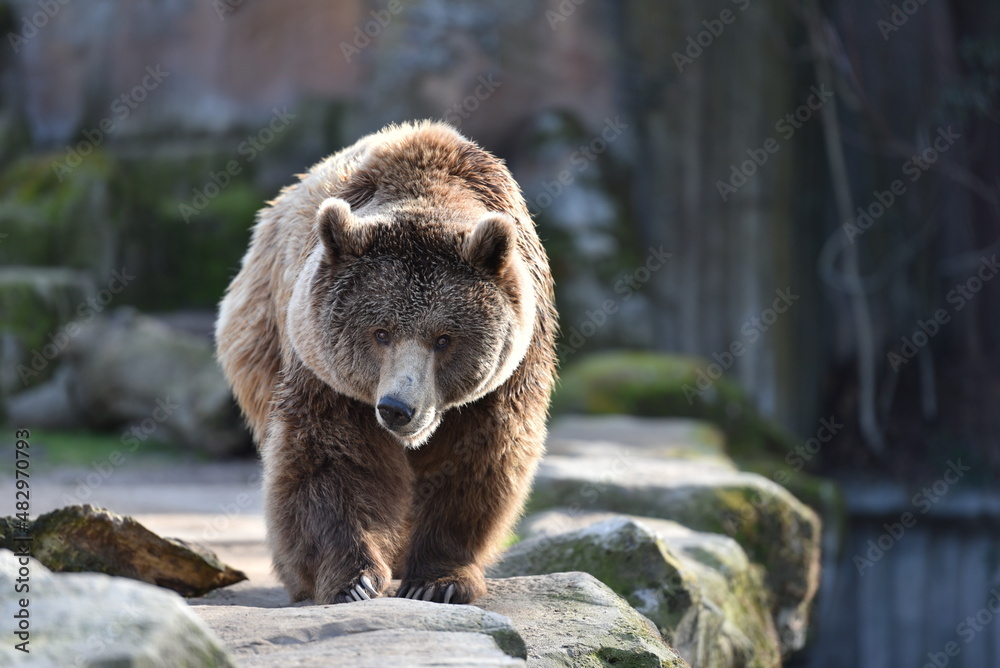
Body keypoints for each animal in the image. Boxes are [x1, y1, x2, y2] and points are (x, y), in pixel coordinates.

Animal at [215, 120, 558, 605]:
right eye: (380, 332)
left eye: (444, 338)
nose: (397, 408)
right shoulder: (328, 374)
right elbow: (331, 457)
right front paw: (352, 580)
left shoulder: (508, 376)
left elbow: (480, 459)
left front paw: (439, 580)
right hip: (263, 333)